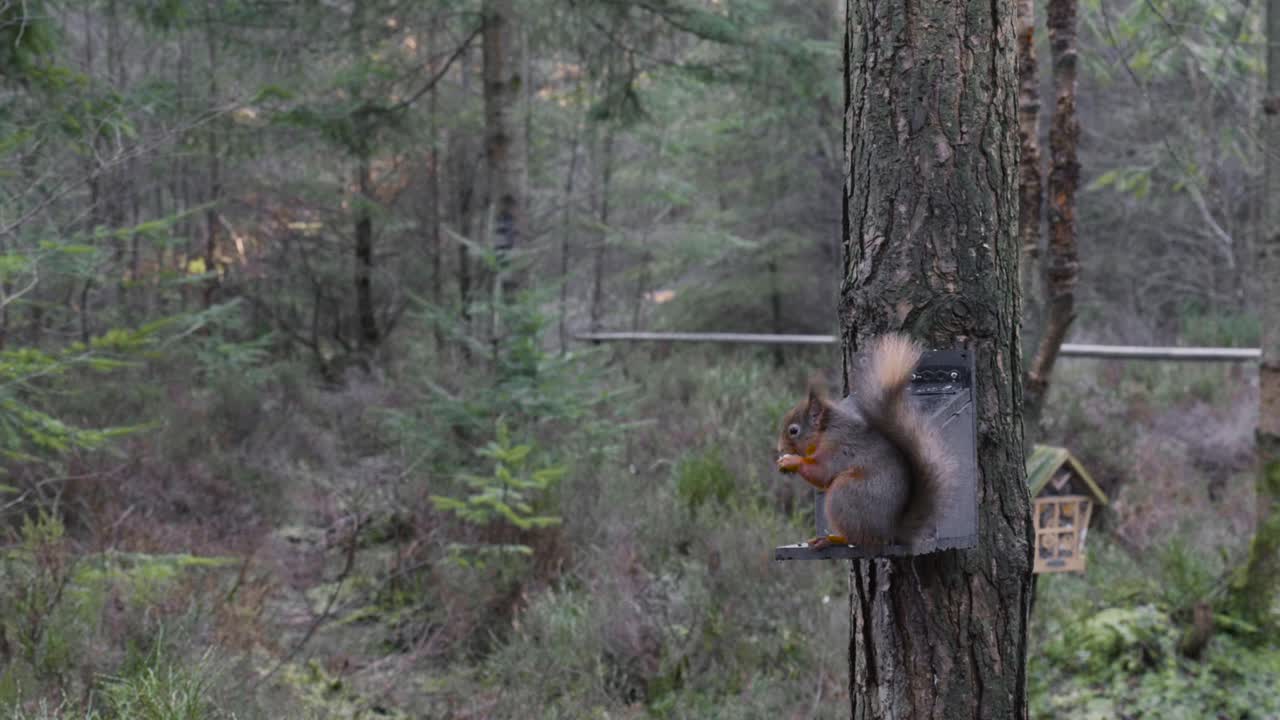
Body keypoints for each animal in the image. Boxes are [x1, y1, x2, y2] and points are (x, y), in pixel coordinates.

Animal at [775, 333, 955, 550]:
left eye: (793, 431)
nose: (779, 448)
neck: (825, 431)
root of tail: (889, 532)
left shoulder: (838, 447)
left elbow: (822, 472)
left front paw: (790, 461)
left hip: (844, 494)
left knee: (856, 538)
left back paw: (832, 539)